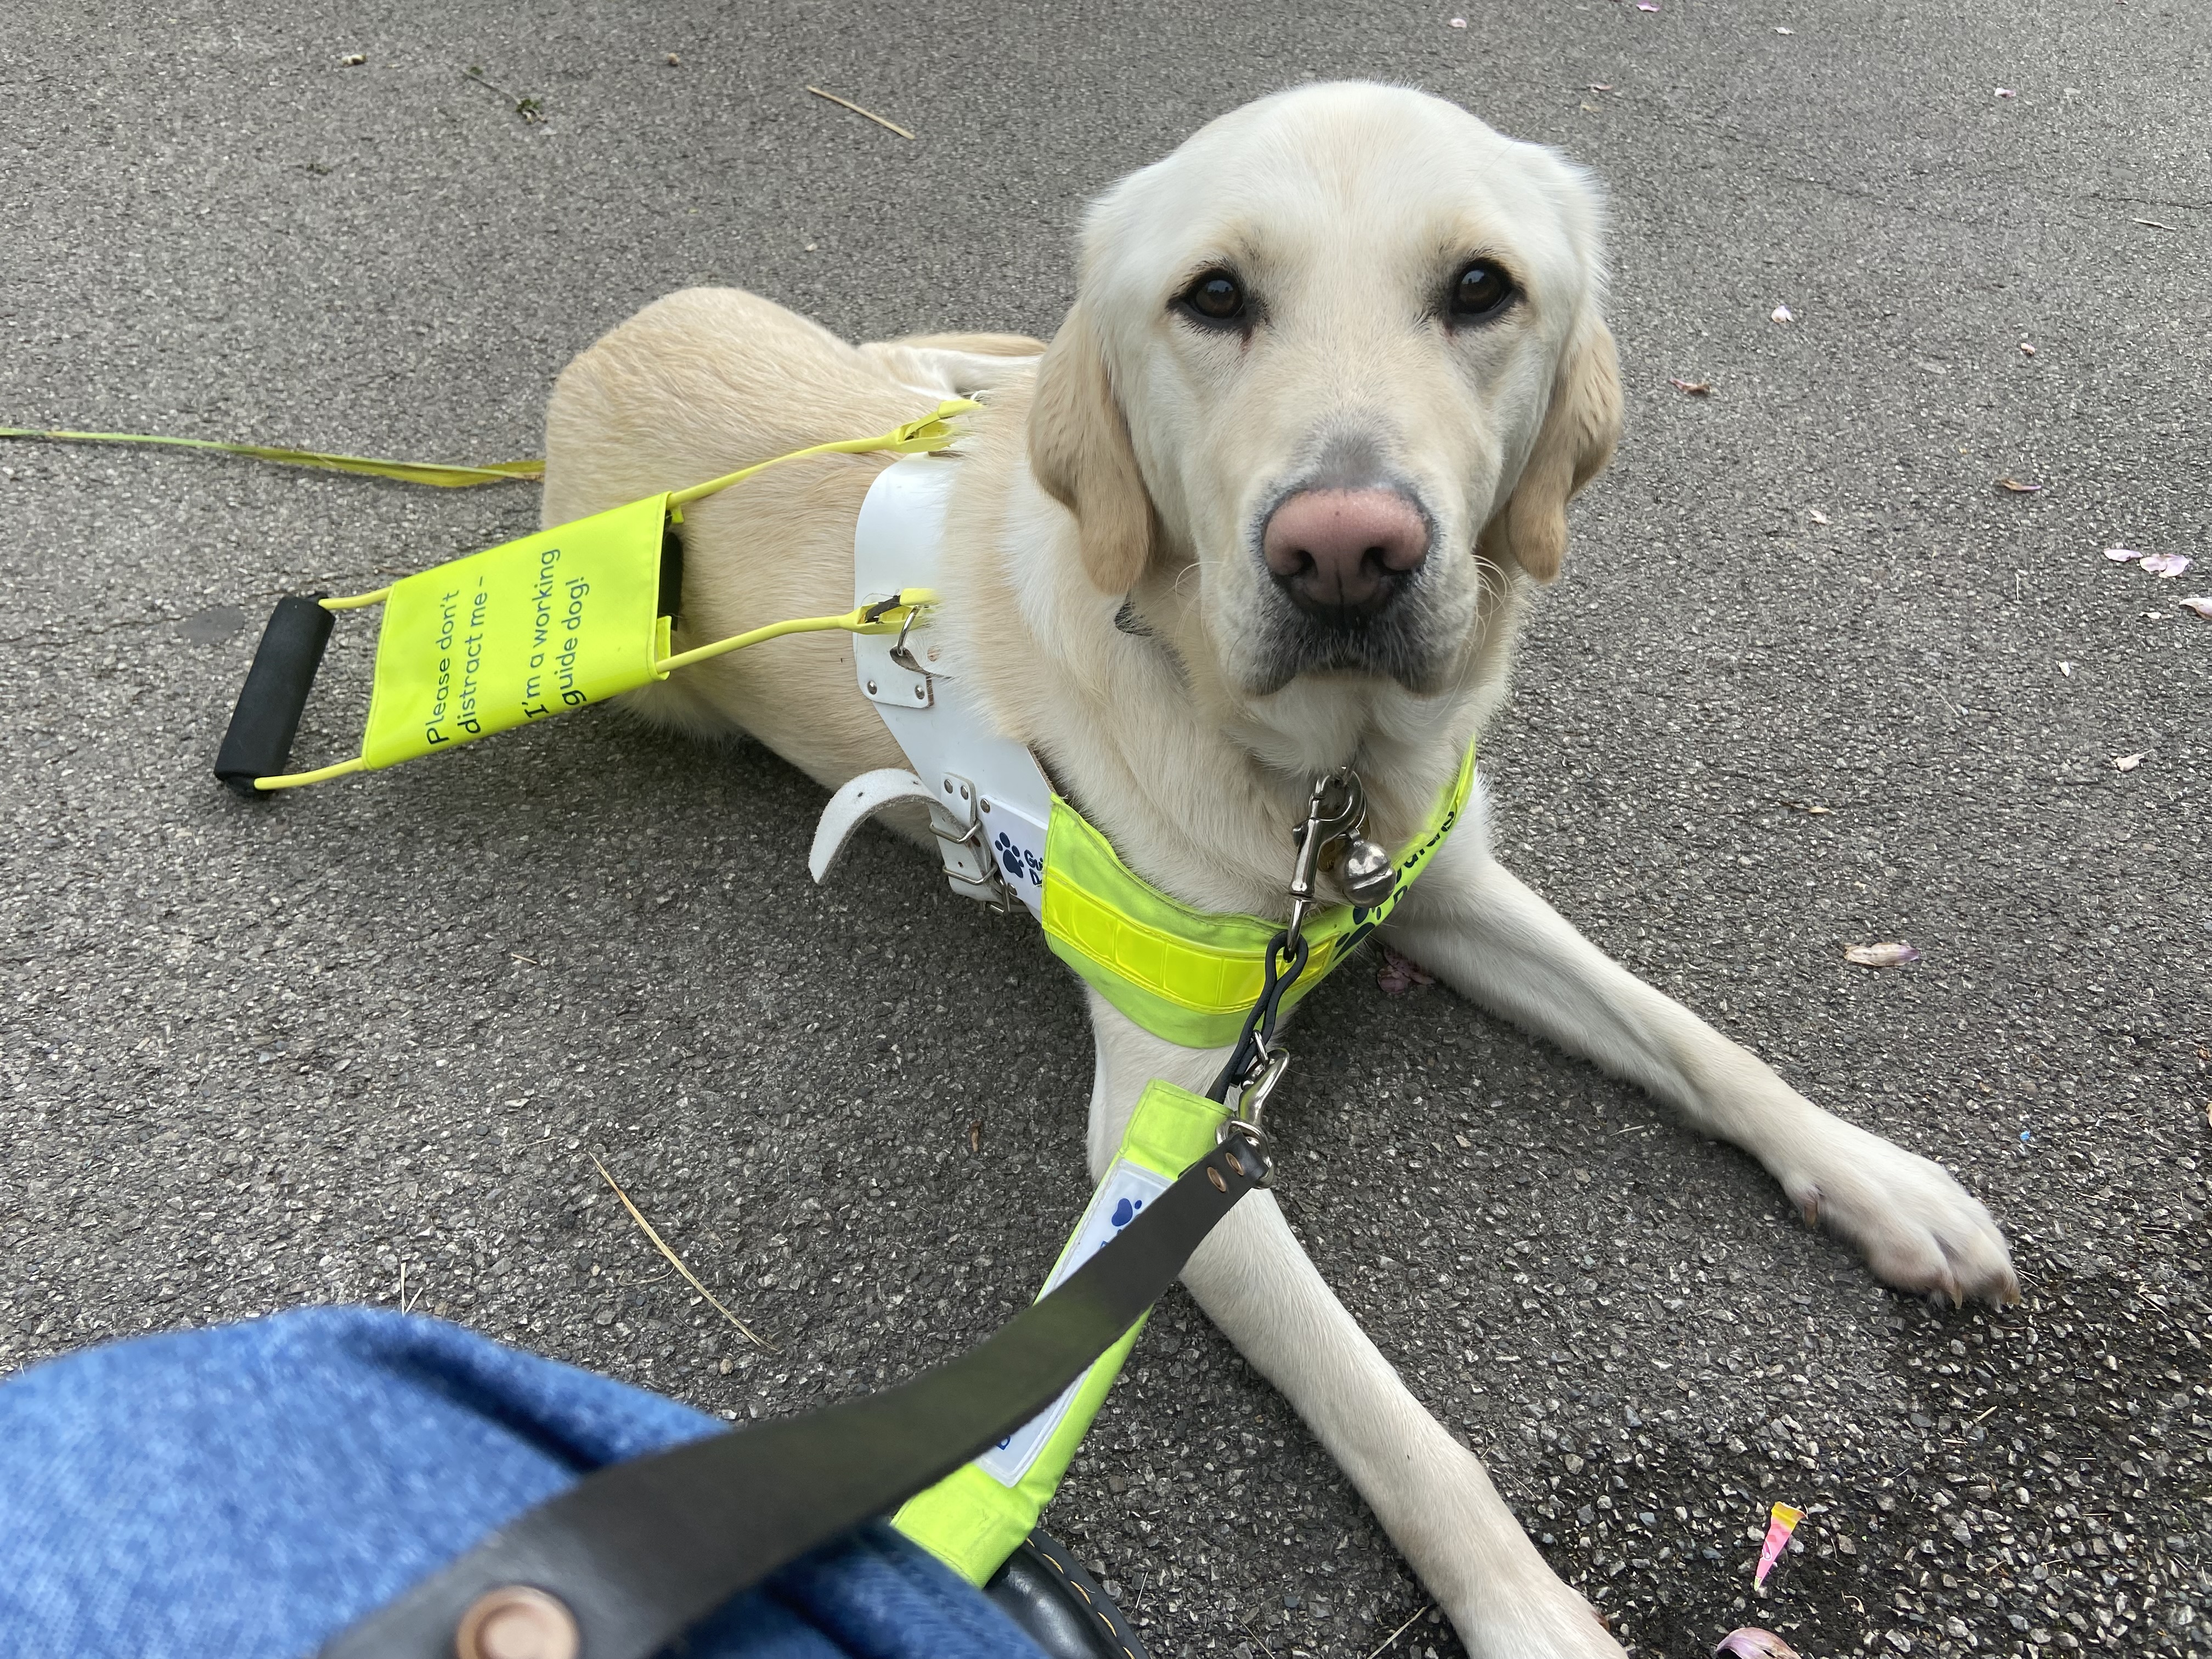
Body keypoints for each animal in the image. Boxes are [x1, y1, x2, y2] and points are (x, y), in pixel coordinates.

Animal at [544, 84, 2017, 1659]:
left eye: (1482, 288)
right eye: (1214, 298)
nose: (1347, 551)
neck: (1322, 786)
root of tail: (613, 336)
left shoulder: (1454, 886)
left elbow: (1696, 1041)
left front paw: (1880, 1181)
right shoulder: (1163, 1141)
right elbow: (1394, 1423)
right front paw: (1529, 1612)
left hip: (914, 378)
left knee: (977, 381)